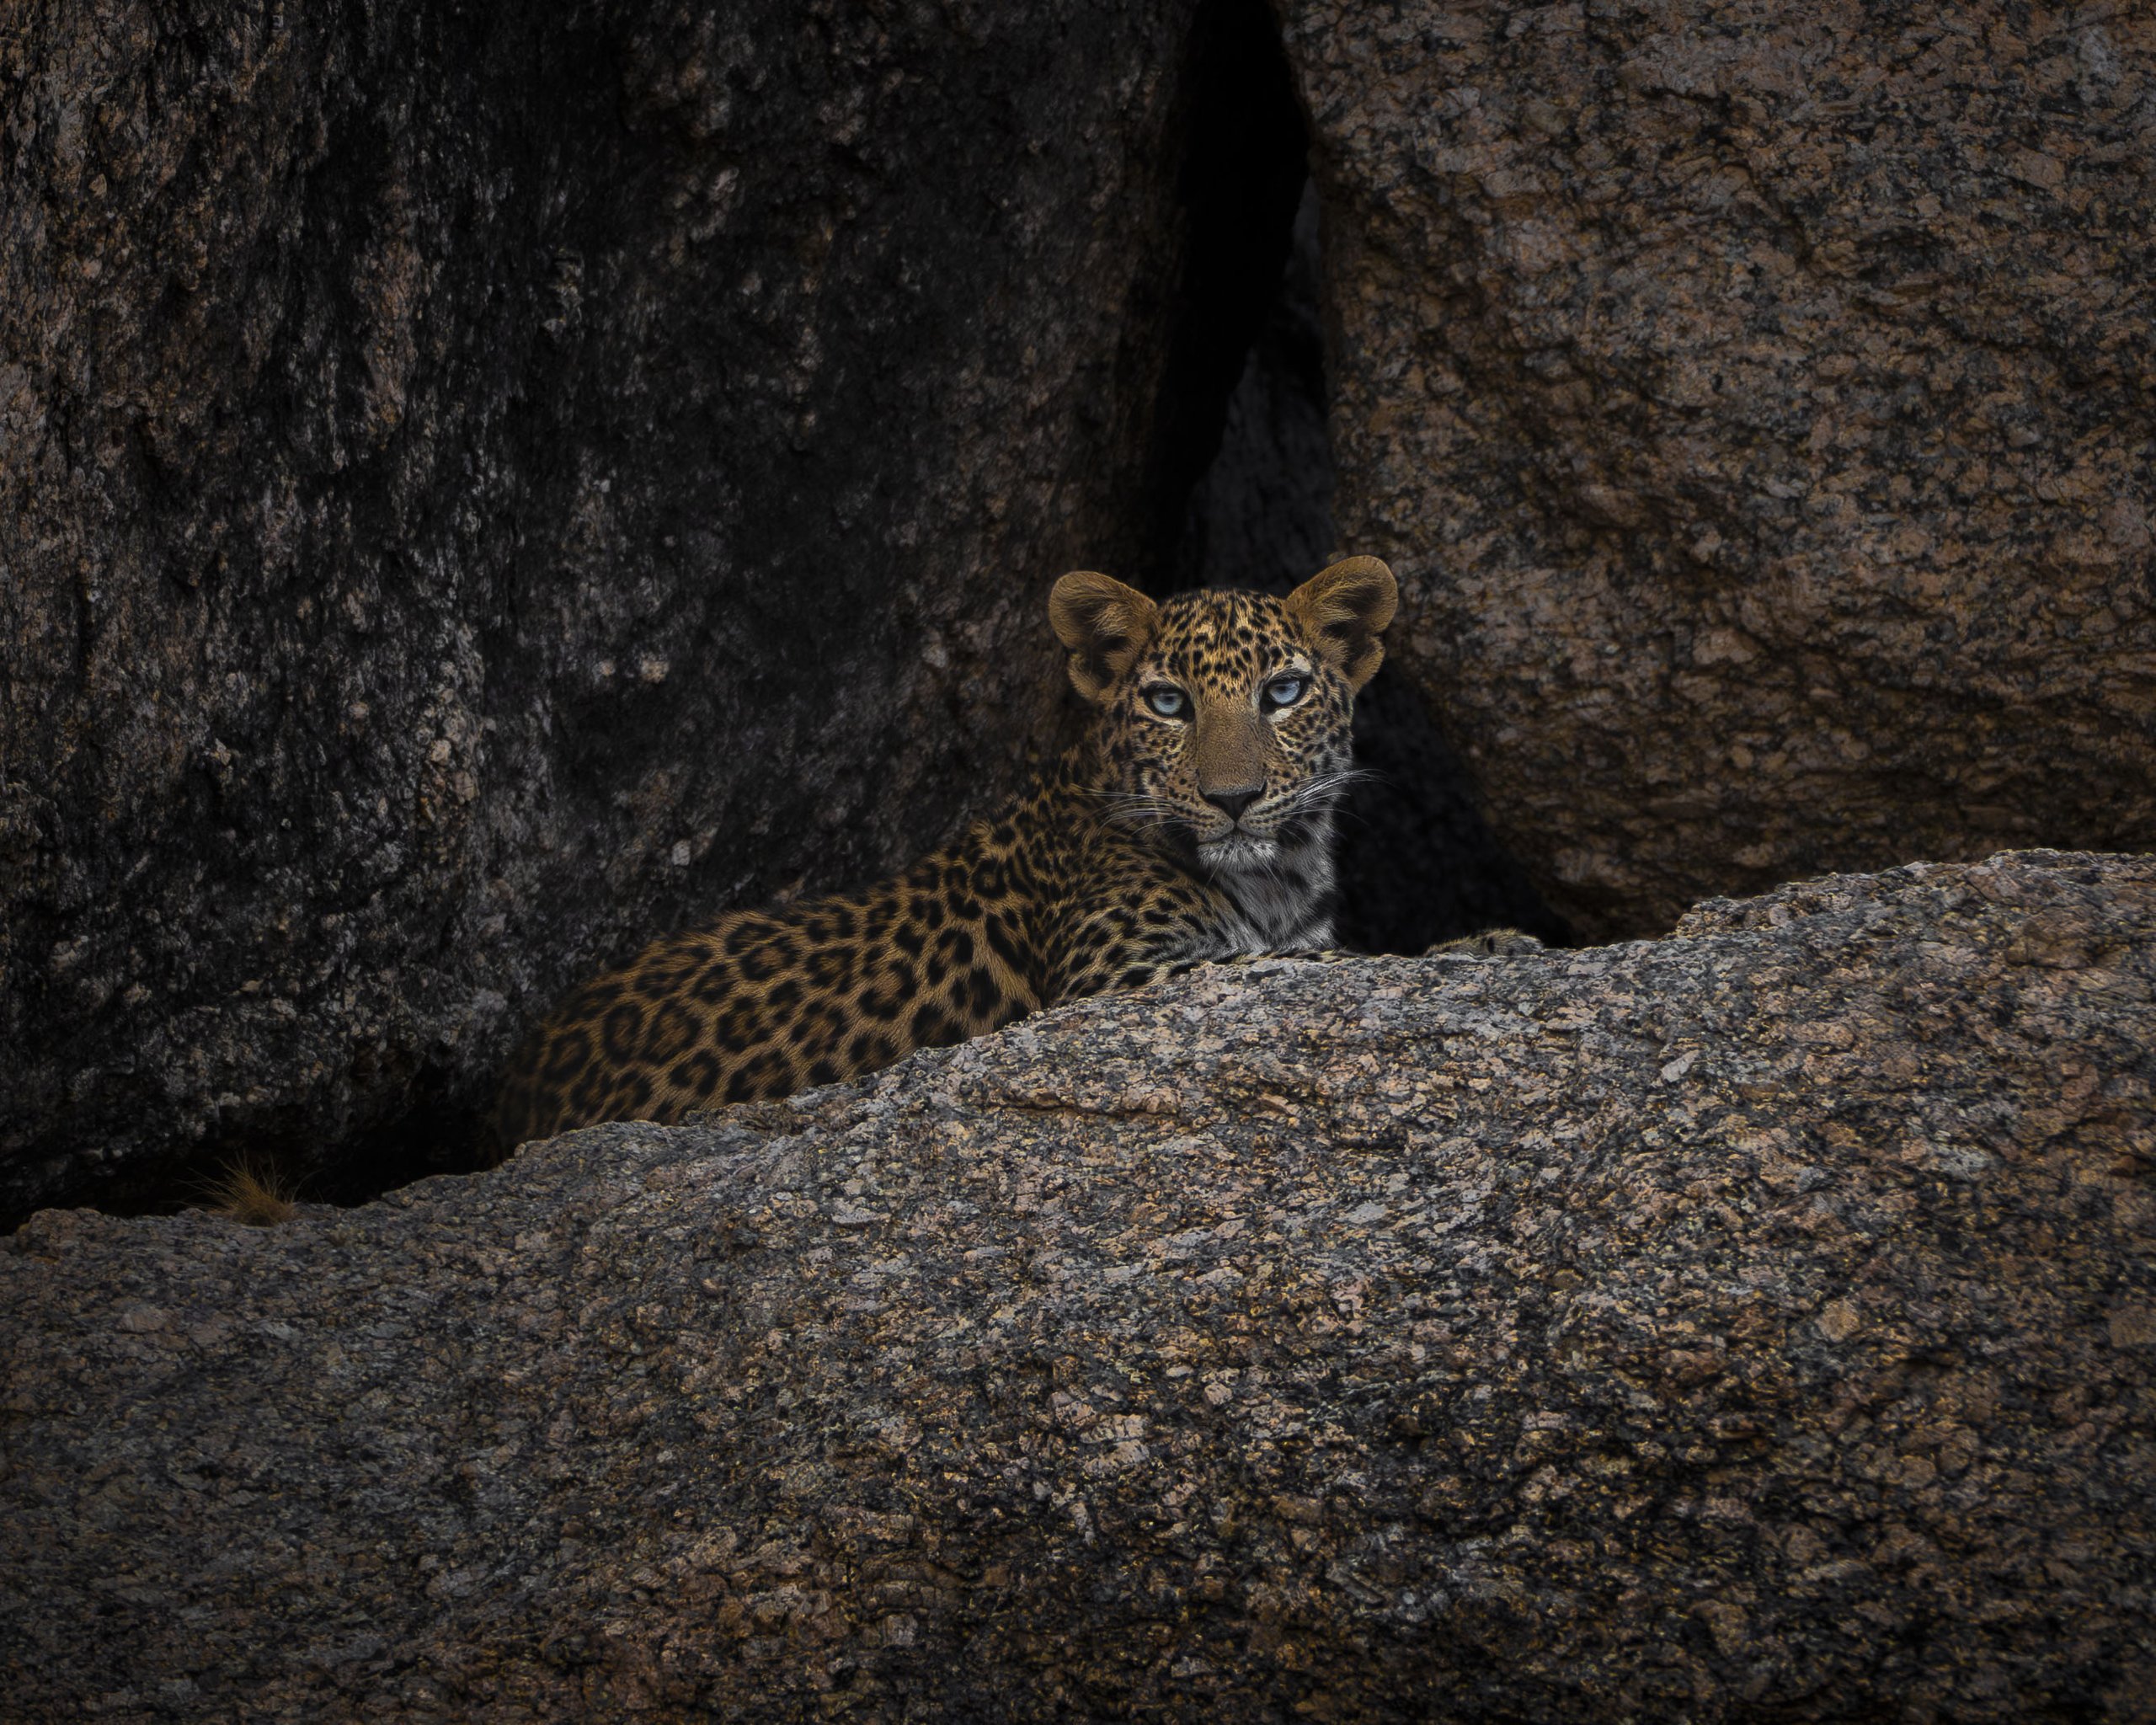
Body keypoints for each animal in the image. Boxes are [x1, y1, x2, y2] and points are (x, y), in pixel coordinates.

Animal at [489, 555, 1528, 1150]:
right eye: (1168, 703)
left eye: (1282, 693)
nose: (1231, 801)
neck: (1275, 876)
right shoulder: (1118, 977)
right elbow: (1311, 970)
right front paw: (1482, 945)